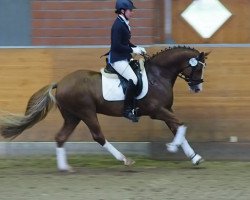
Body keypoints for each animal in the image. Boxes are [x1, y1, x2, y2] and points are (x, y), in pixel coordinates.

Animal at [0, 46, 209, 171]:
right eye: (198, 68)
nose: (197, 88)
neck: (158, 75)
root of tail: (61, 83)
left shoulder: (166, 110)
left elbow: (177, 127)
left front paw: (195, 157)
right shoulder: (156, 111)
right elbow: (182, 124)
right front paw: (172, 147)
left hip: (72, 116)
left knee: (60, 137)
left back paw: (64, 168)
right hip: (86, 112)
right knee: (98, 136)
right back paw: (124, 159)